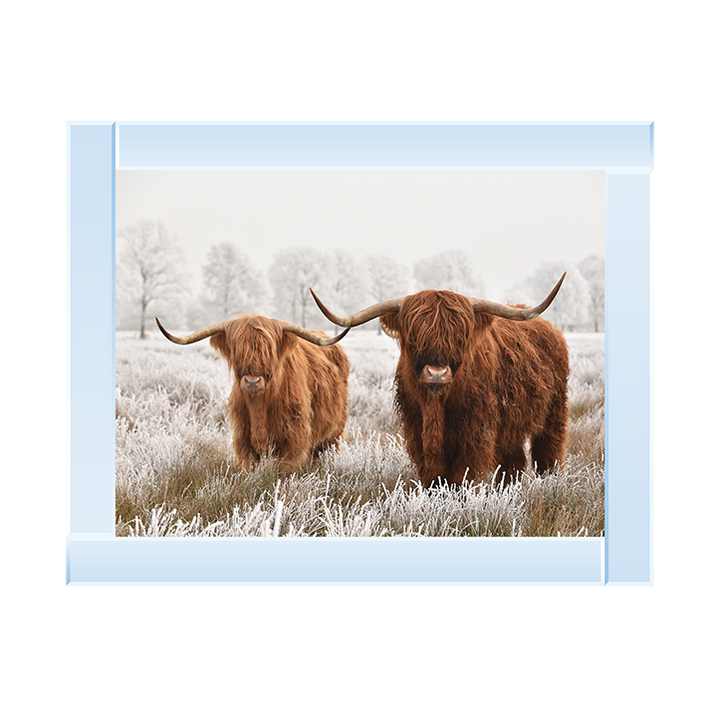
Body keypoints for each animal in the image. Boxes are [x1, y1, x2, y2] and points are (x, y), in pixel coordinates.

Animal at [156, 315, 350, 473]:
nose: (252, 381)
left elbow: (285, 471)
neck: (260, 405)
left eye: (268, 350)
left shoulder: (294, 438)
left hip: (336, 431)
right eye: (237, 349)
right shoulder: (243, 437)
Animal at [310, 274, 568, 487]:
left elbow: (461, 477)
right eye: (413, 337)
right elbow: (433, 477)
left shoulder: (475, 433)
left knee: (548, 452)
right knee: (513, 461)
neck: (436, 405)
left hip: (554, 413)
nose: (436, 373)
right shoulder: (416, 430)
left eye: (460, 337)